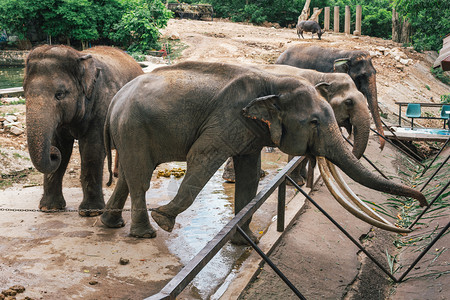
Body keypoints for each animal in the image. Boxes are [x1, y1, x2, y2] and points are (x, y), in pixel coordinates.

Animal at [23, 44, 143, 214]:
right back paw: (117, 174)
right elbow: (62, 147)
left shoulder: (102, 105)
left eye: (59, 94)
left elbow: (92, 149)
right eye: (24, 94)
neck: (78, 56)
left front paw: (91, 212)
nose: (52, 154)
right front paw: (49, 208)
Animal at [100, 61, 428, 244]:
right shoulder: (227, 119)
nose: (423, 202)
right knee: (140, 178)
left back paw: (111, 224)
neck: (273, 84)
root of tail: (115, 99)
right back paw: (147, 233)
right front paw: (165, 219)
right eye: (314, 122)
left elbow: (248, 177)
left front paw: (243, 243)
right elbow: (201, 158)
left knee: (128, 176)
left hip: (131, 131)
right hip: (134, 127)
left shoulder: (251, 128)